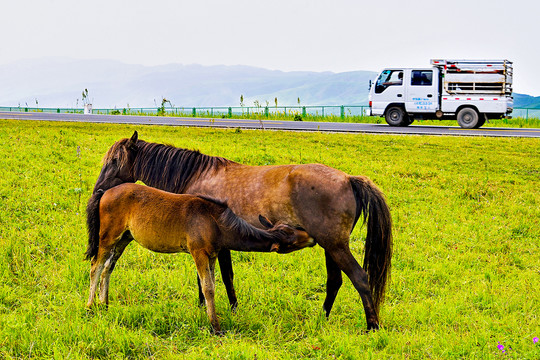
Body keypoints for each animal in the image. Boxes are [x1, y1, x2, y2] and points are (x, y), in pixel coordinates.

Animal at [90, 131, 390, 330]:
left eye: (114, 161)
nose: (99, 190)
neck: (197, 175)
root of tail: (348, 179)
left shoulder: (213, 245)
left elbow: (216, 278)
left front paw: (214, 308)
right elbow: (222, 276)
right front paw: (225, 308)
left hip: (335, 246)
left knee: (360, 278)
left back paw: (372, 326)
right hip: (331, 246)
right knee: (335, 281)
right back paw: (323, 317)